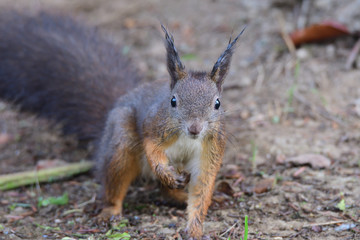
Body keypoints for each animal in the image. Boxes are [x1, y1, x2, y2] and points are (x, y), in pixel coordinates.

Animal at [0, 9, 243, 240]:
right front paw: (165, 172)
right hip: (121, 142)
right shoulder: (154, 126)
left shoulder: (211, 149)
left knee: (166, 194)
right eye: (173, 101)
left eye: (217, 103)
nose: (195, 128)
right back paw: (110, 211)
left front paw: (195, 228)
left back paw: (192, 196)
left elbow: (202, 188)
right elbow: (152, 150)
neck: (188, 138)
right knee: (115, 184)